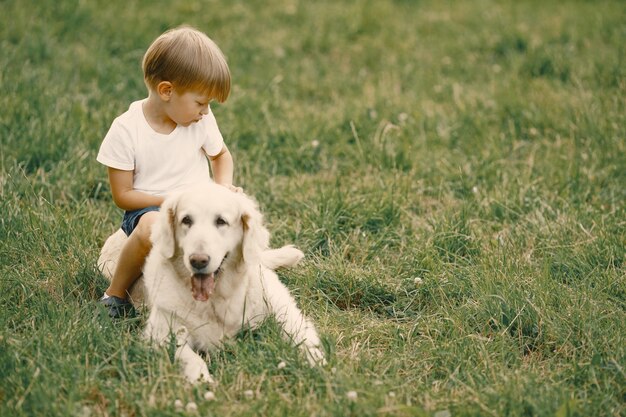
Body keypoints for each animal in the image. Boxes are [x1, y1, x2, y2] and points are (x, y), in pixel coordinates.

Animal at [98, 184, 324, 382]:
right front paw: (202, 382)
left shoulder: (283, 307)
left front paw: (316, 361)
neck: (218, 298)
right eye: (186, 220)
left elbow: (299, 333)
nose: (198, 261)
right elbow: (190, 358)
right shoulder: (161, 331)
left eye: (221, 221)